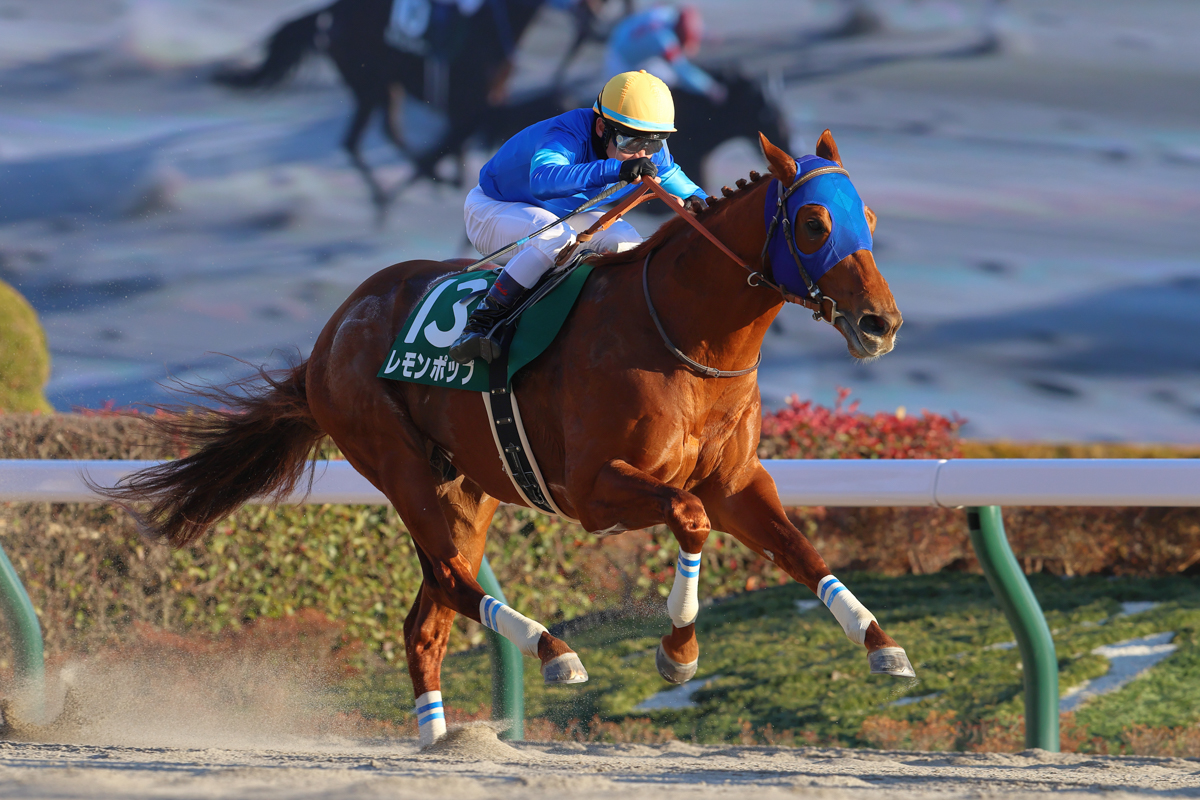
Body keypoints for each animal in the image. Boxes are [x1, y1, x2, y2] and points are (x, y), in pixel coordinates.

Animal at [105, 130, 907, 743]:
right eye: (814, 223)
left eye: (868, 214)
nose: (881, 323)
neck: (685, 336)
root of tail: (331, 335)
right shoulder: (595, 490)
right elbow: (690, 518)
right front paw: (677, 651)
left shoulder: (737, 482)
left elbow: (801, 550)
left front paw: (882, 643)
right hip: (396, 462)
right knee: (452, 580)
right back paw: (552, 651)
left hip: (467, 488)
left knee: (427, 615)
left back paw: (441, 742)